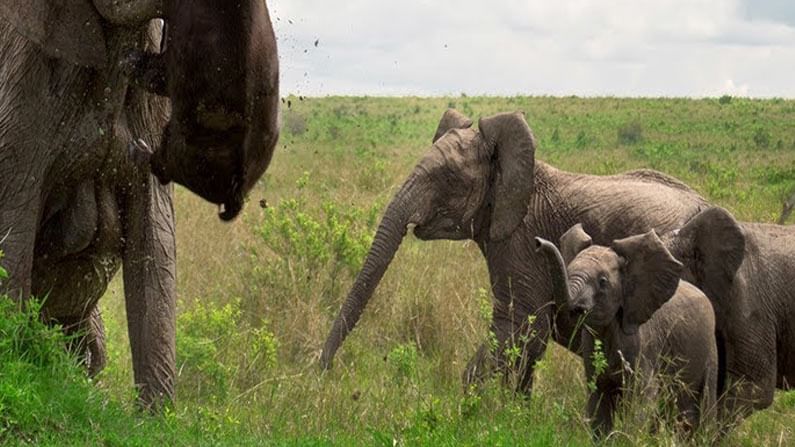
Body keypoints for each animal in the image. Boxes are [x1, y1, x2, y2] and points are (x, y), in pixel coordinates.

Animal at [536, 226, 720, 436]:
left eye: (603, 281)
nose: (538, 242)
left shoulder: (643, 346)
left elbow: (643, 398)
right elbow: (599, 400)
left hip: (710, 352)